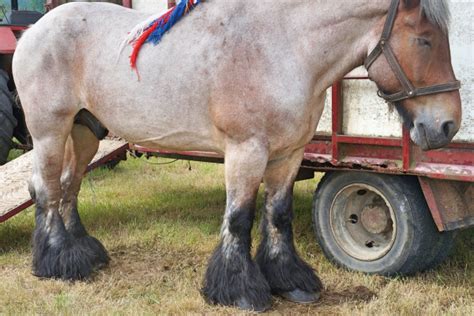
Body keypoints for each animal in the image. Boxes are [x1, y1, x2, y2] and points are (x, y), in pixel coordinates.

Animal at [12, 0, 462, 312]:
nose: (447, 125)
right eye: (424, 40)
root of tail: (33, 30)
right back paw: (57, 262)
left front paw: (290, 280)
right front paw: (239, 290)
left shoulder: (287, 155)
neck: (283, 49)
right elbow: (240, 217)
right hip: (50, 131)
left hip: (84, 131)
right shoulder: (246, 151)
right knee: (47, 189)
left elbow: (278, 215)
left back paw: (82, 255)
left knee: (68, 186)